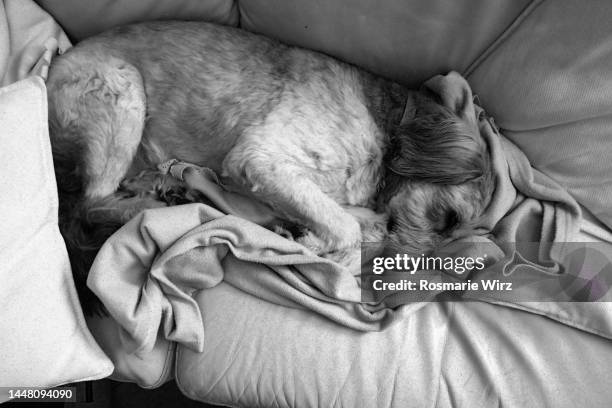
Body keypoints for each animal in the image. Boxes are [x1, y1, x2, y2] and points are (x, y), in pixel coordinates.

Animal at [45, 20, 494, 312]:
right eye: (449, 218)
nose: (395, 291)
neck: (389, 126)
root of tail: (49, 72)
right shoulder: (259, 158)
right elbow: (348, 230)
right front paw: (313, 247)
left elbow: (352, 222)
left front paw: (304, 235)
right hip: (119, 90)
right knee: (92, 203)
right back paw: (156, 207)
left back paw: (166, 187)